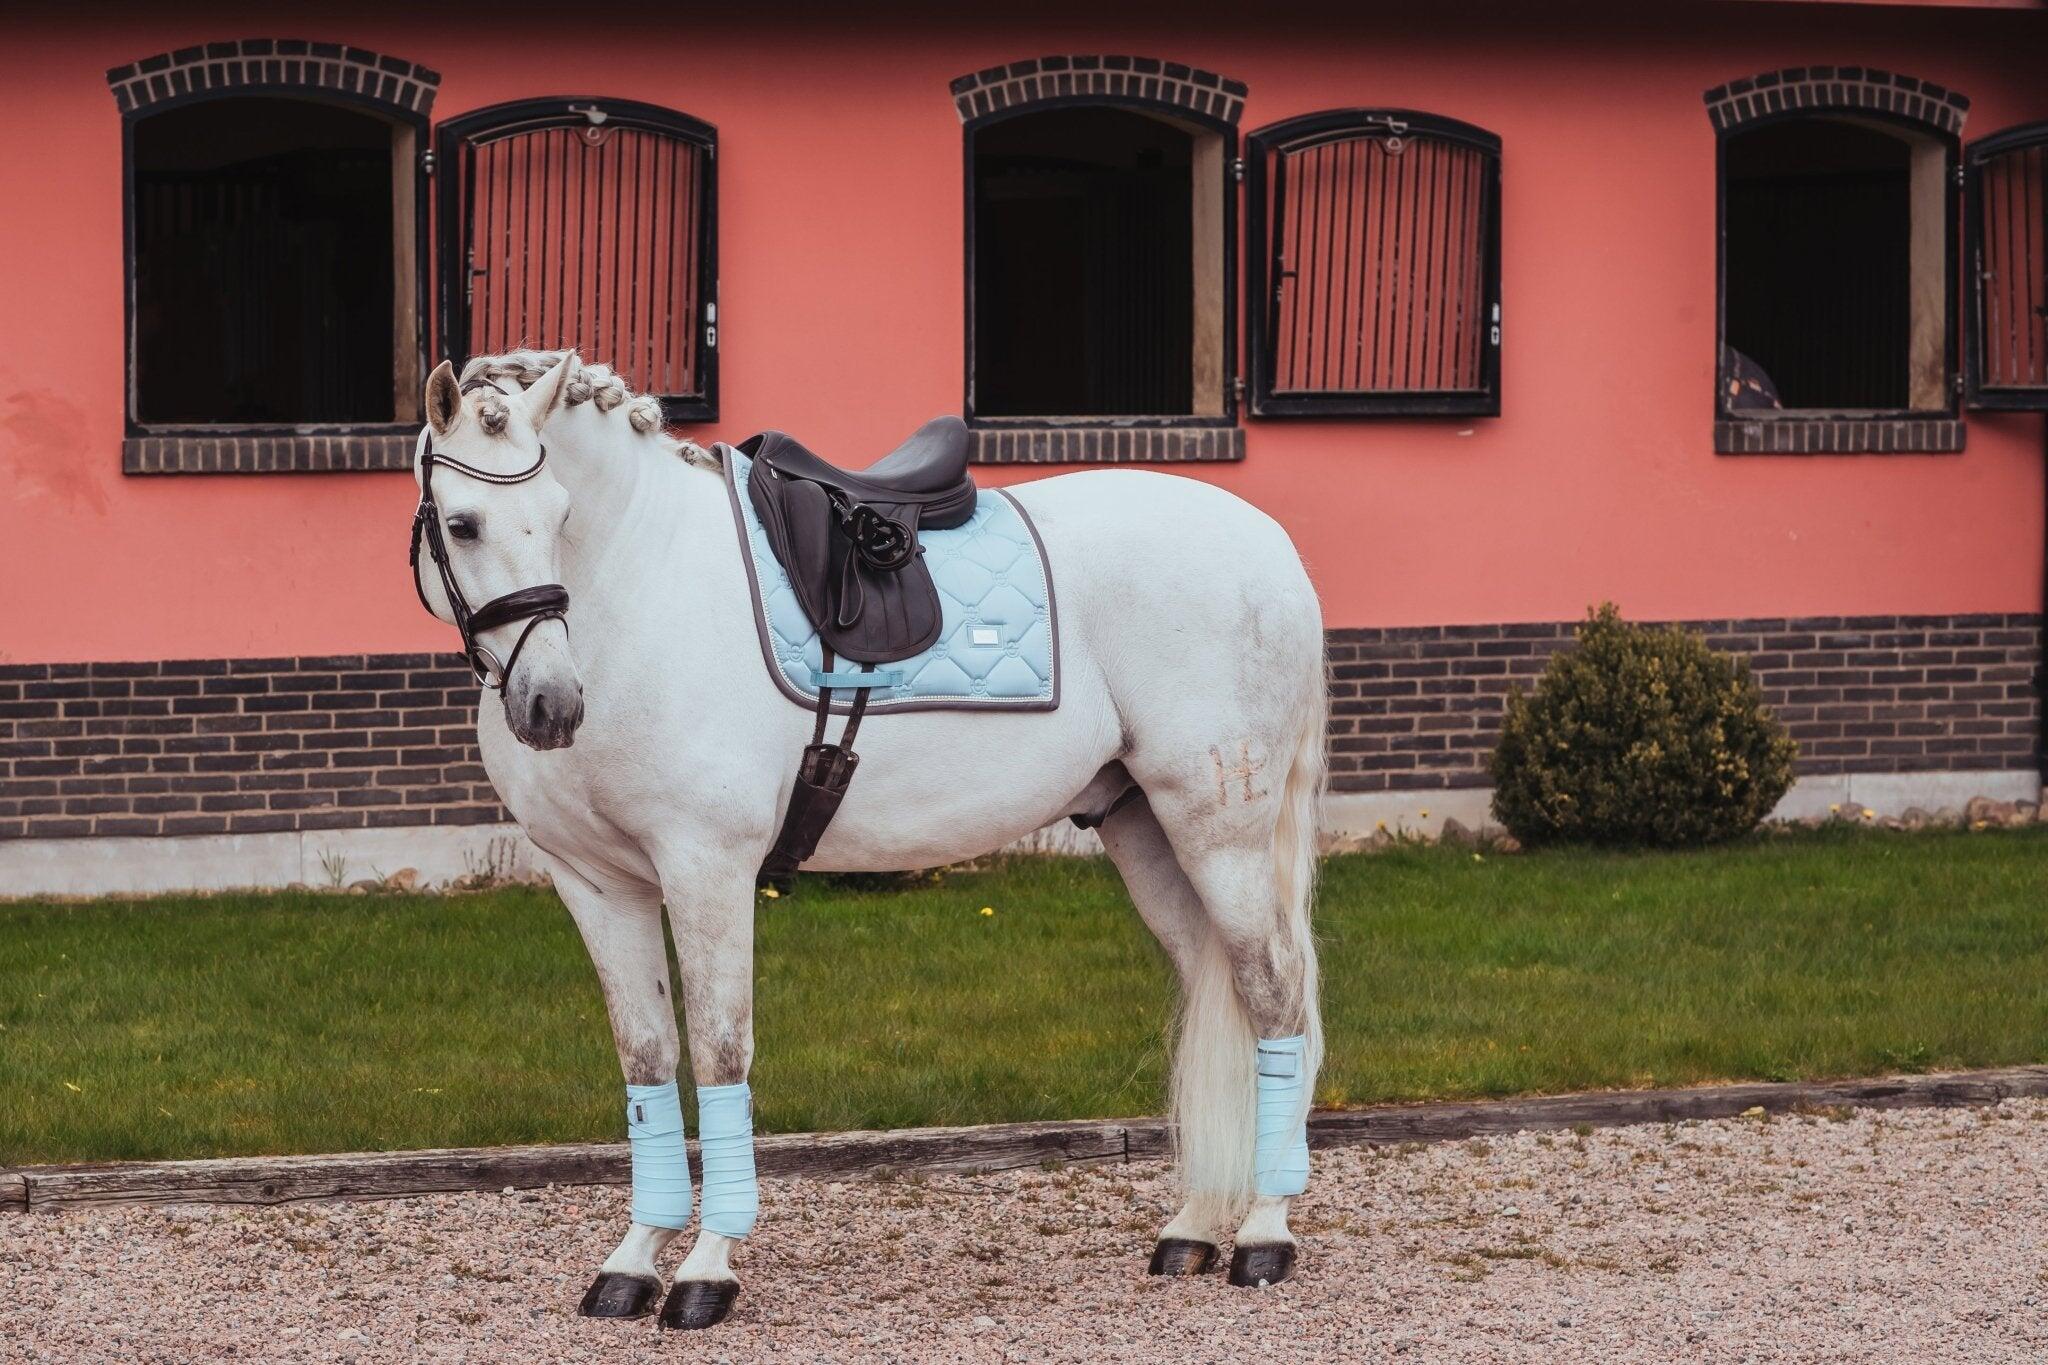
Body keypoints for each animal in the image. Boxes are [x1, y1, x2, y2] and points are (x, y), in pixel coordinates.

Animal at [407, 350, 1327, 1330]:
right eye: (462, 524)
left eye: (560, 517)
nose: (550, 703)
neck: (636, 586)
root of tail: (1271, 543)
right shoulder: (595, 884)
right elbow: (647, 1058)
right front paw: (634, 1258)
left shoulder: (707, 868)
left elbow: (722, 1050)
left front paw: (707, 1268)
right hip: (1145, 827)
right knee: (1215, 987)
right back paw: (1192, 1226)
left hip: (1219, 830)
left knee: (1274, 995)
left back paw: (1264, 1233)